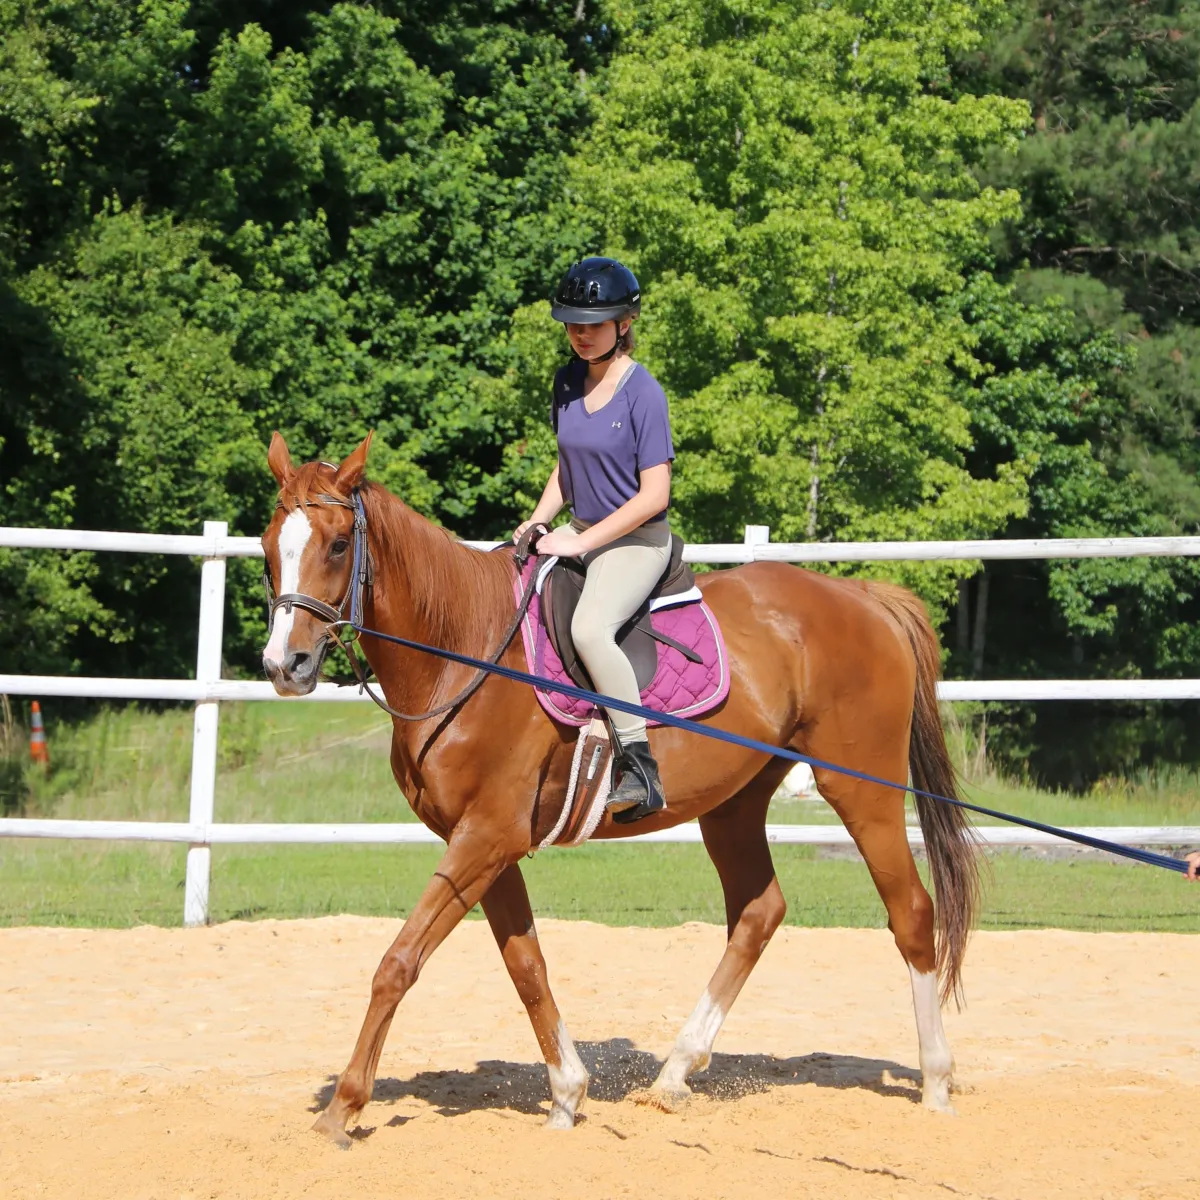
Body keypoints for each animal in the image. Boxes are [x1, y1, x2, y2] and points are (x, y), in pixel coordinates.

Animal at [260, 431, 980, 1145]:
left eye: (339, 544)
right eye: (269, 548)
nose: (284, 664)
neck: (464, 651)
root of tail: (863, 595)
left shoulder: (485, 838)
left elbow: (398, 962)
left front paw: (344, 1108)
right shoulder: (487, 845)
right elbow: (526, 966)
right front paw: (565, 1095)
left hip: (864, 791)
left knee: (912, 914)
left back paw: (937, 1082)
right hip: (735, 805)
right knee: (759, 912)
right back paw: (675, 1073)